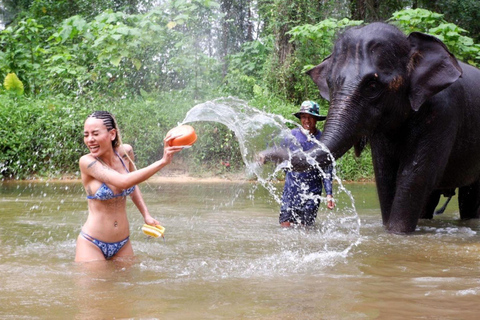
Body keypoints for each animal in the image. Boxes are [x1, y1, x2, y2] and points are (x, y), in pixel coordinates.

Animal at [290, 21, 480, 232]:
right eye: (330, 84)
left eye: (372, 85)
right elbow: (384, 176)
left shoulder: (442, 113)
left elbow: (415, 176)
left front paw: (396, 233)